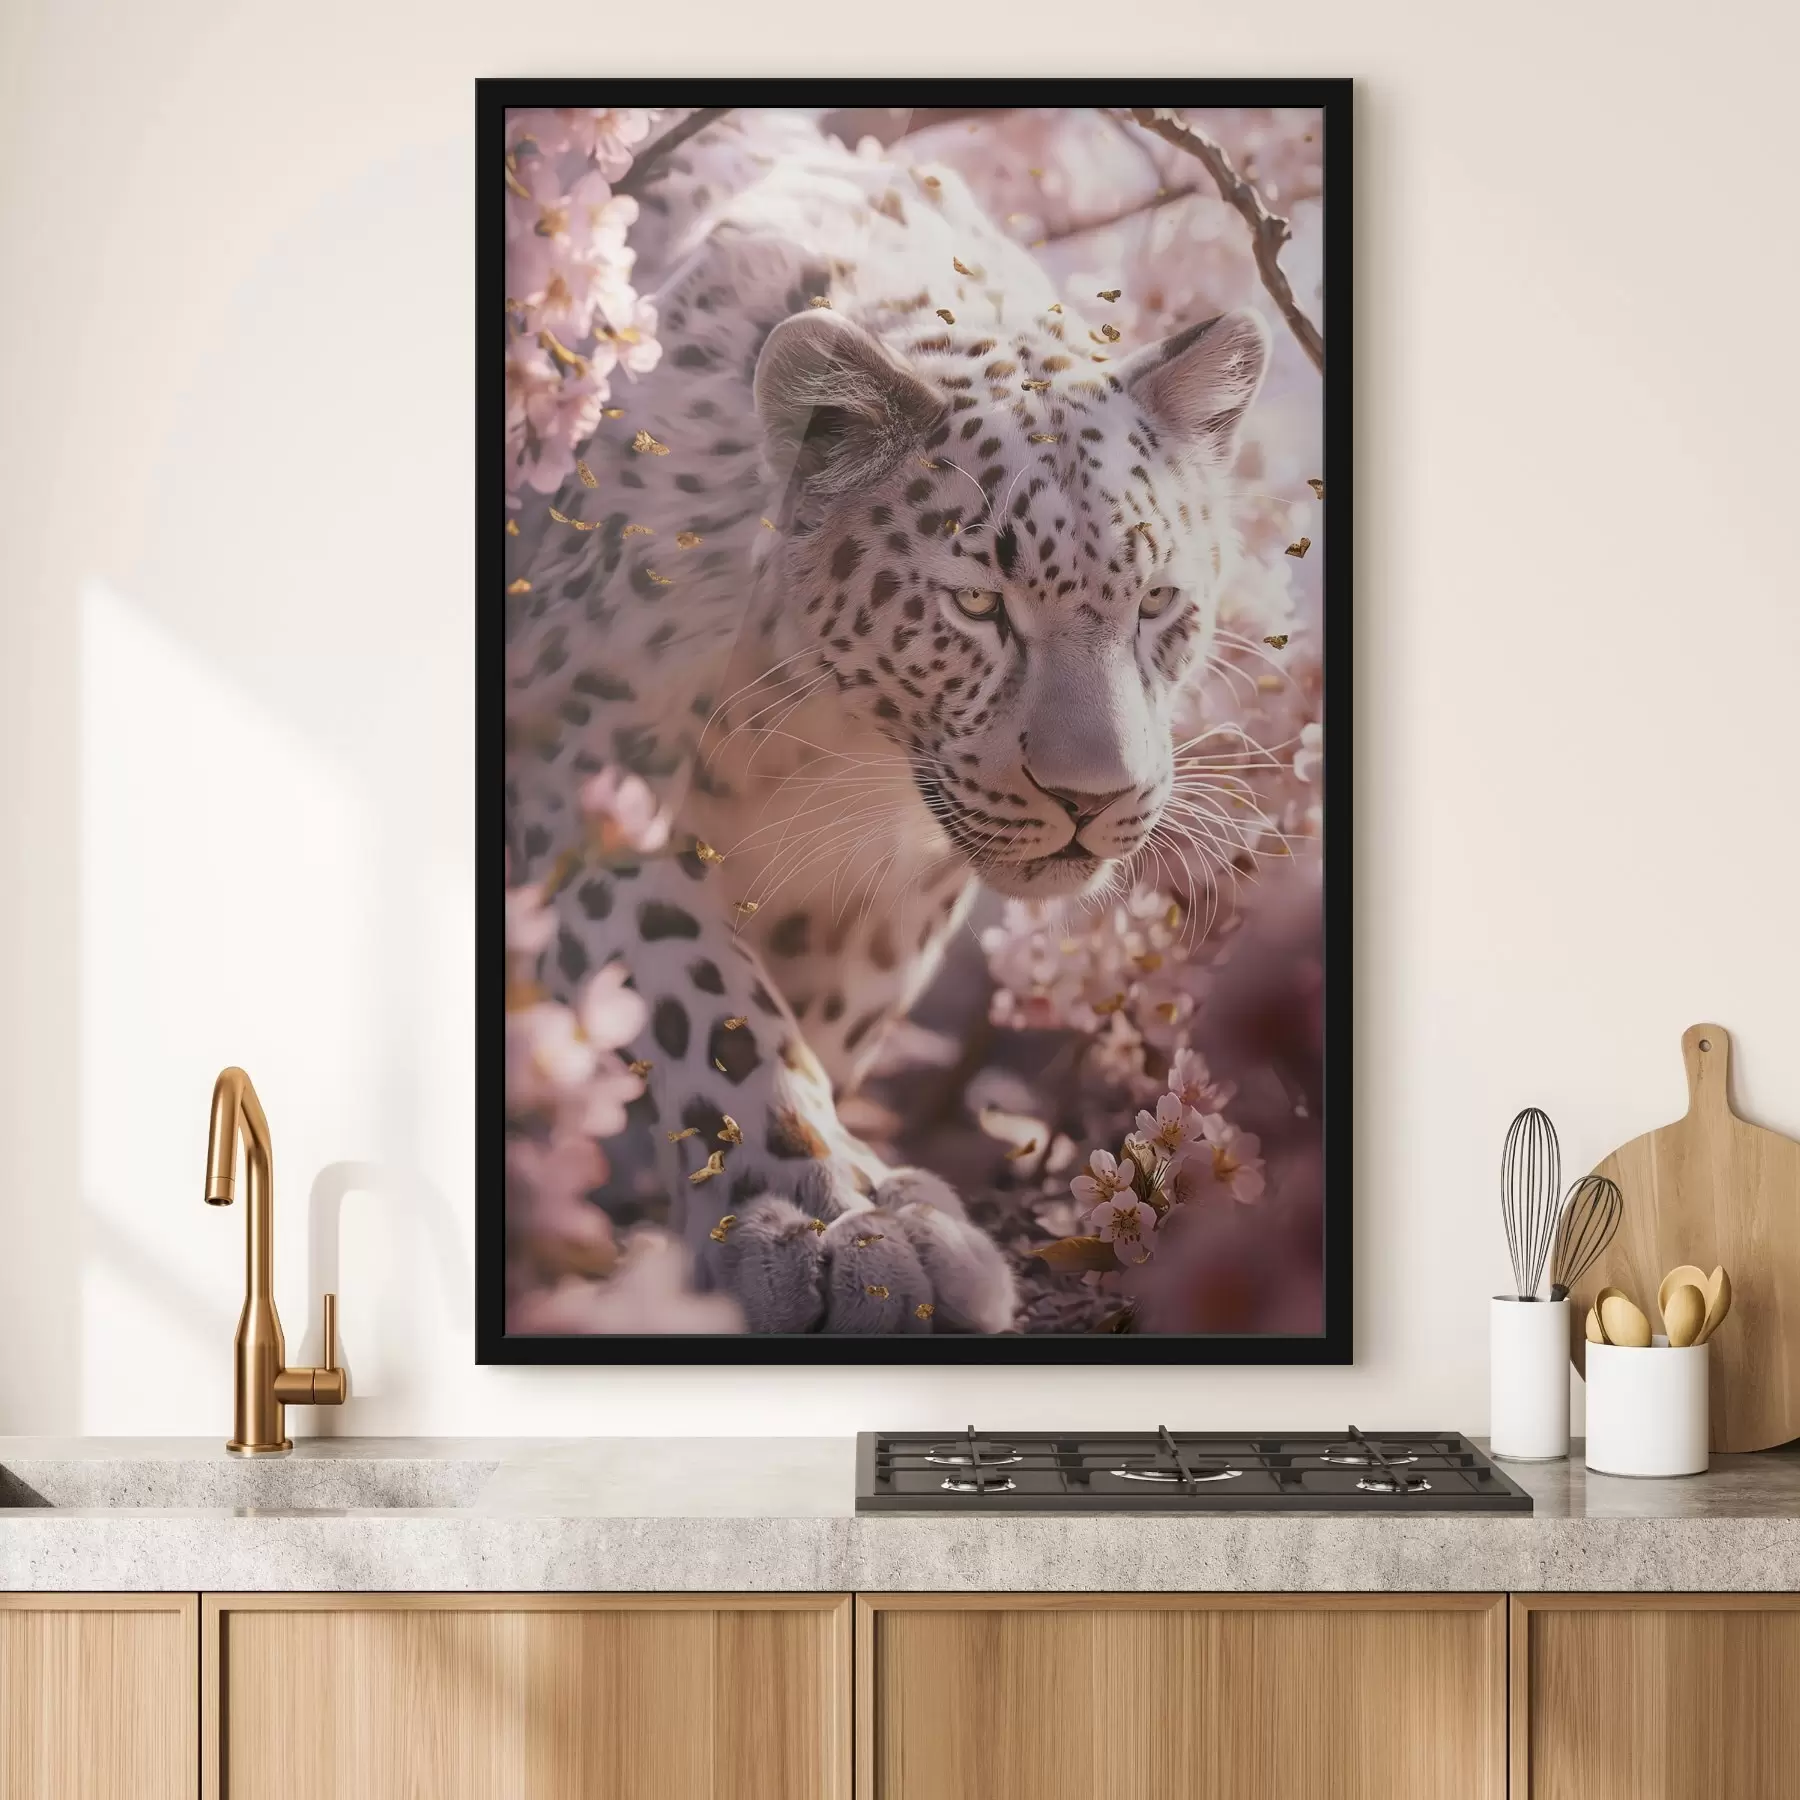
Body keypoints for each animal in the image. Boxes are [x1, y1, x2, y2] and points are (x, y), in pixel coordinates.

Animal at [504, 111, 1269, 1333]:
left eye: (1157, 603)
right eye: (980, 605)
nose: (1093, 799)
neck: (822, 737)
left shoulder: (882, 897)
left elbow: (807, 1011)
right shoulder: (575, 773)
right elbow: (706, 1001)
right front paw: (823, 1216)